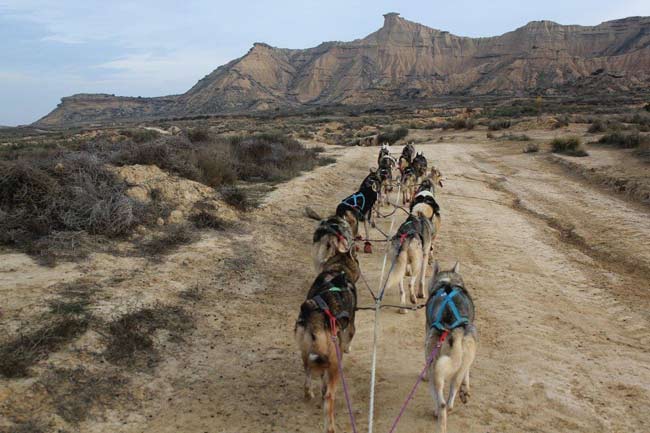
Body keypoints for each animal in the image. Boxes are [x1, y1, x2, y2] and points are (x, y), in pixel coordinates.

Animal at [294, 250, 360, 432]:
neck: (338, 269)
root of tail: (318, 319)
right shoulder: (350, 328)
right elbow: (350, 337)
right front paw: (349, 348)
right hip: (334, 362)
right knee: (329, 396)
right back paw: (330, 426)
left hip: (306, 352)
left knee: (307, 372)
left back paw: (308, 393)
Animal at [426, 262, 476, 432]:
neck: (448, 282)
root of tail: (452, 328)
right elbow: (467, 373)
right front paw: (466, 390)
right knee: (453, 389)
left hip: (434, 366)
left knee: (440, 400)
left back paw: (438, 412)